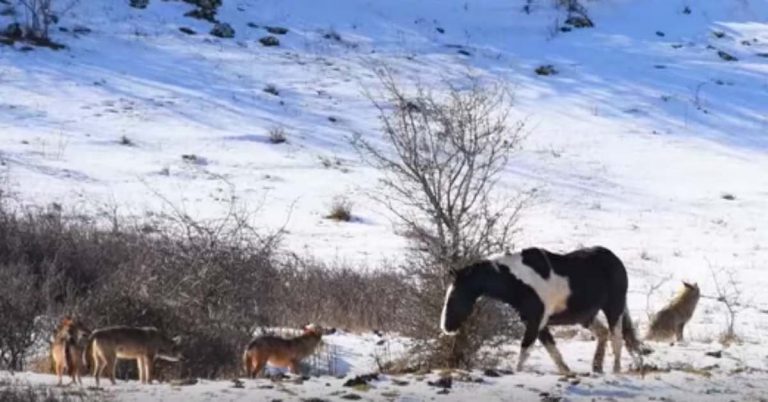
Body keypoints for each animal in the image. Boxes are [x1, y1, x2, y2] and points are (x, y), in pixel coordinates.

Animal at [440, 246, 647, 374]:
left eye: (455, 296)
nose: (446, 328)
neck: (519, 281)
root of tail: (615, 259)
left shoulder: (535, 321)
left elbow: (524, 352)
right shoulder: (536, 322)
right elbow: (553, 351)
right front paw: (567, 372)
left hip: (614, 308)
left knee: (617, 339)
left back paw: (615, 371)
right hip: (585, 316)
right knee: (603, 333)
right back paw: (597, 367)